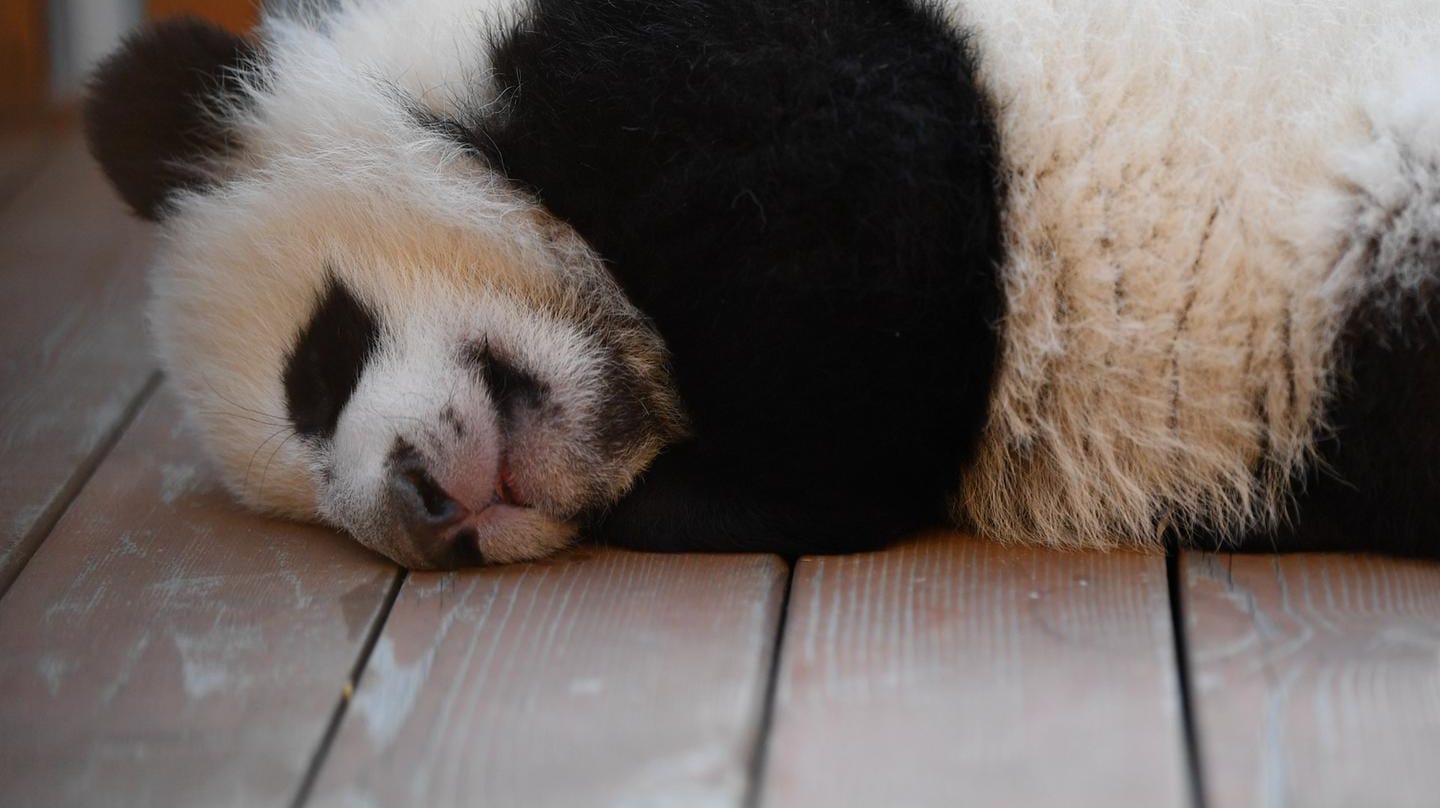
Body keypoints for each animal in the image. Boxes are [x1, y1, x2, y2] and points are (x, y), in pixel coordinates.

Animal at [87, 0, 1440, 567]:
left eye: (319, 363)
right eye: (315, 500)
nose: (421, 515)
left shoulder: (677, 65)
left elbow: (861, 226)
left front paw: (709, 497)